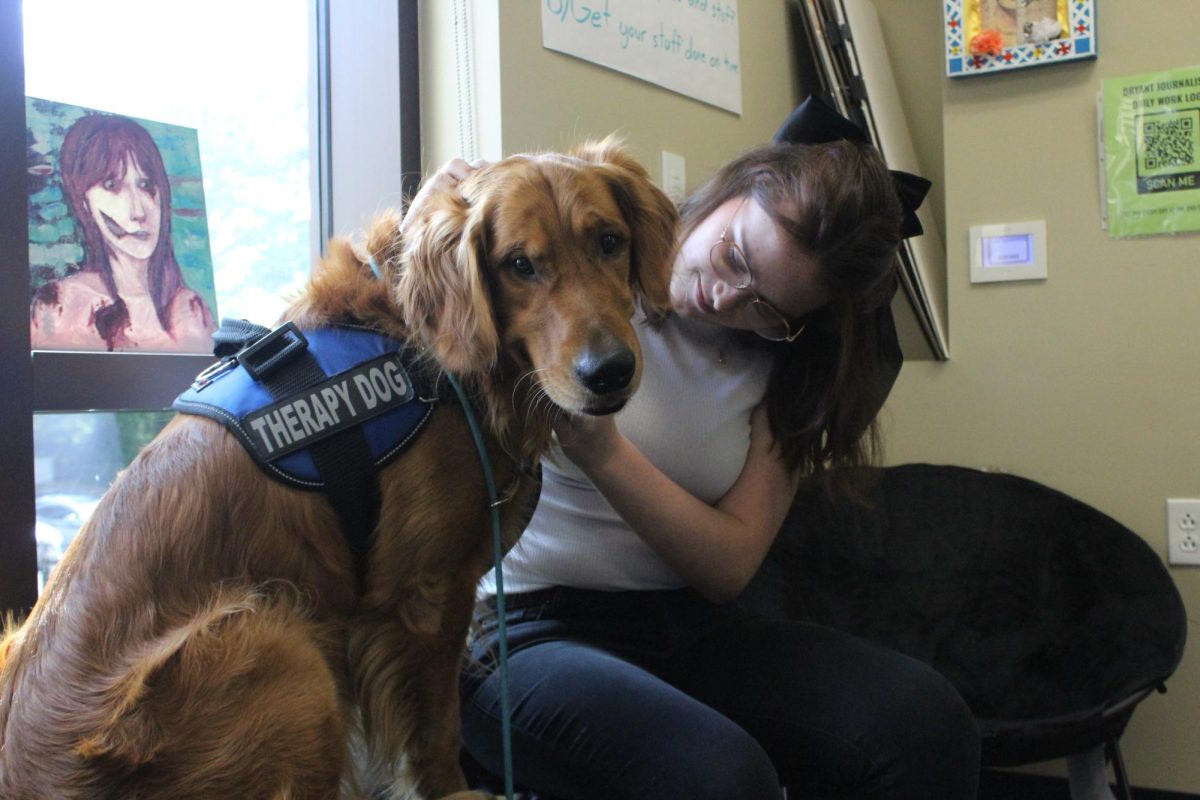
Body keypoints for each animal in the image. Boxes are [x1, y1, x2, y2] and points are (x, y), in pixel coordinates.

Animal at [0, 140, 681, 796]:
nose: (609, 372)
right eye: (520, 264)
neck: (430, 356)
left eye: (609, 242)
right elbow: (438, 729)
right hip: (280, 643)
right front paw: (454, 790)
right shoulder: (427, 593)